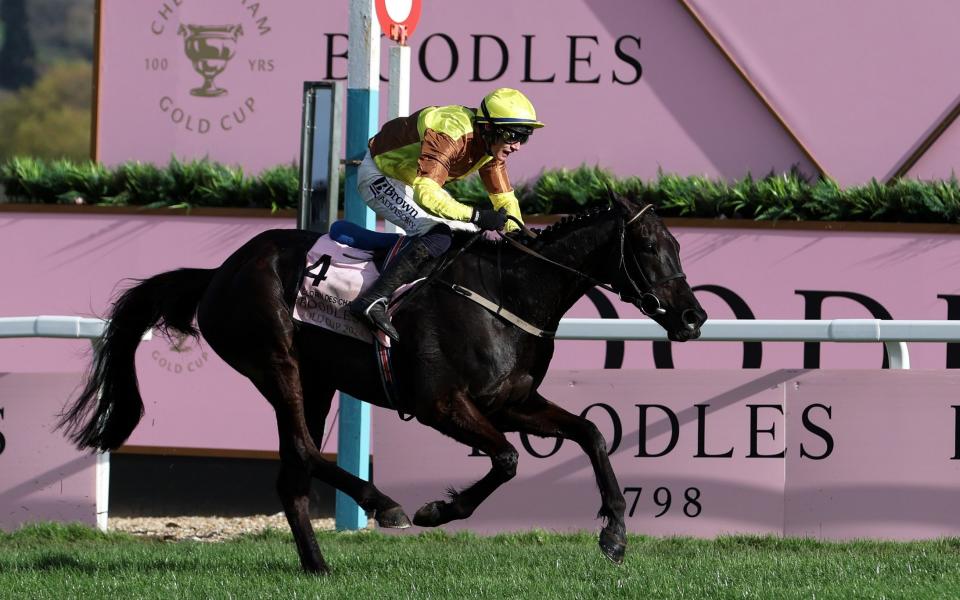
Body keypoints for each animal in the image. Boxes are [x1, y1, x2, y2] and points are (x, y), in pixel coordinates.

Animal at [60, 195, 704, 576]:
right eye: (649, 247)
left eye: (678, 245)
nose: (694, 317)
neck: (508, 294)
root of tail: (219, 271)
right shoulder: (440, 402)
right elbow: (505, 459)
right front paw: (438, 509)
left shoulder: (511, 401)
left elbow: (591, 433)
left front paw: (615, 535)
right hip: (277, 363)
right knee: (302, 450)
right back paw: (384, 505)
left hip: (316, 381)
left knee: (292, 471)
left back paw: (318, 565)